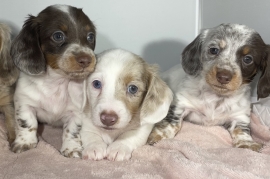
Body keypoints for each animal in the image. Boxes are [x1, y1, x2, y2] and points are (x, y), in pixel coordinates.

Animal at [10, 4, 97, 157]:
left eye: (90, 36)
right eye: (58, 36)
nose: (87, 60)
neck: (57, 82)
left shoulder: (76, 112)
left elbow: (72, 130)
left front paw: (71, 148)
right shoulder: (25, 103)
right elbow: (27, 123)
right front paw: (24, 142)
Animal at [148, 22, 270, 151]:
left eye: (248, 59)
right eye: (214, 50)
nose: (223, 76)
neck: (217, 97)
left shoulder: (240, 115)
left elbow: (242, 130)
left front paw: (247, 143)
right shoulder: (182, 103)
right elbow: (172, 122)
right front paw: (161, 135)